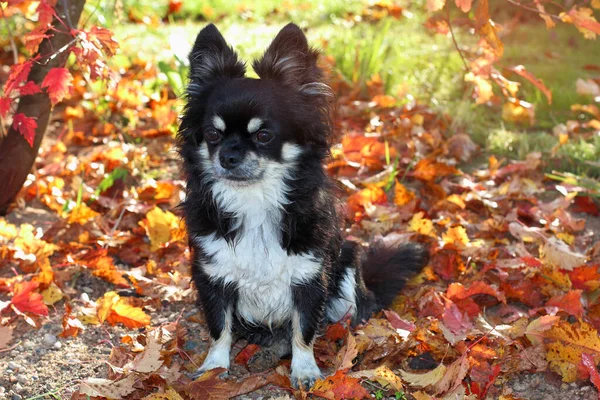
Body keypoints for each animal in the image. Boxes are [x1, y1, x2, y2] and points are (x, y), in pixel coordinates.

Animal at [176, 22, 428, 388]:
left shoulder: (310, 279)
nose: (227, 157)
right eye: (212, 134)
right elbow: (219, 328)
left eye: (263, 136)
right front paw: (214, 368)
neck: (254, 200)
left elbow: (303, 330)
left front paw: (306, 370)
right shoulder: (213, 277)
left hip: (347, 269)